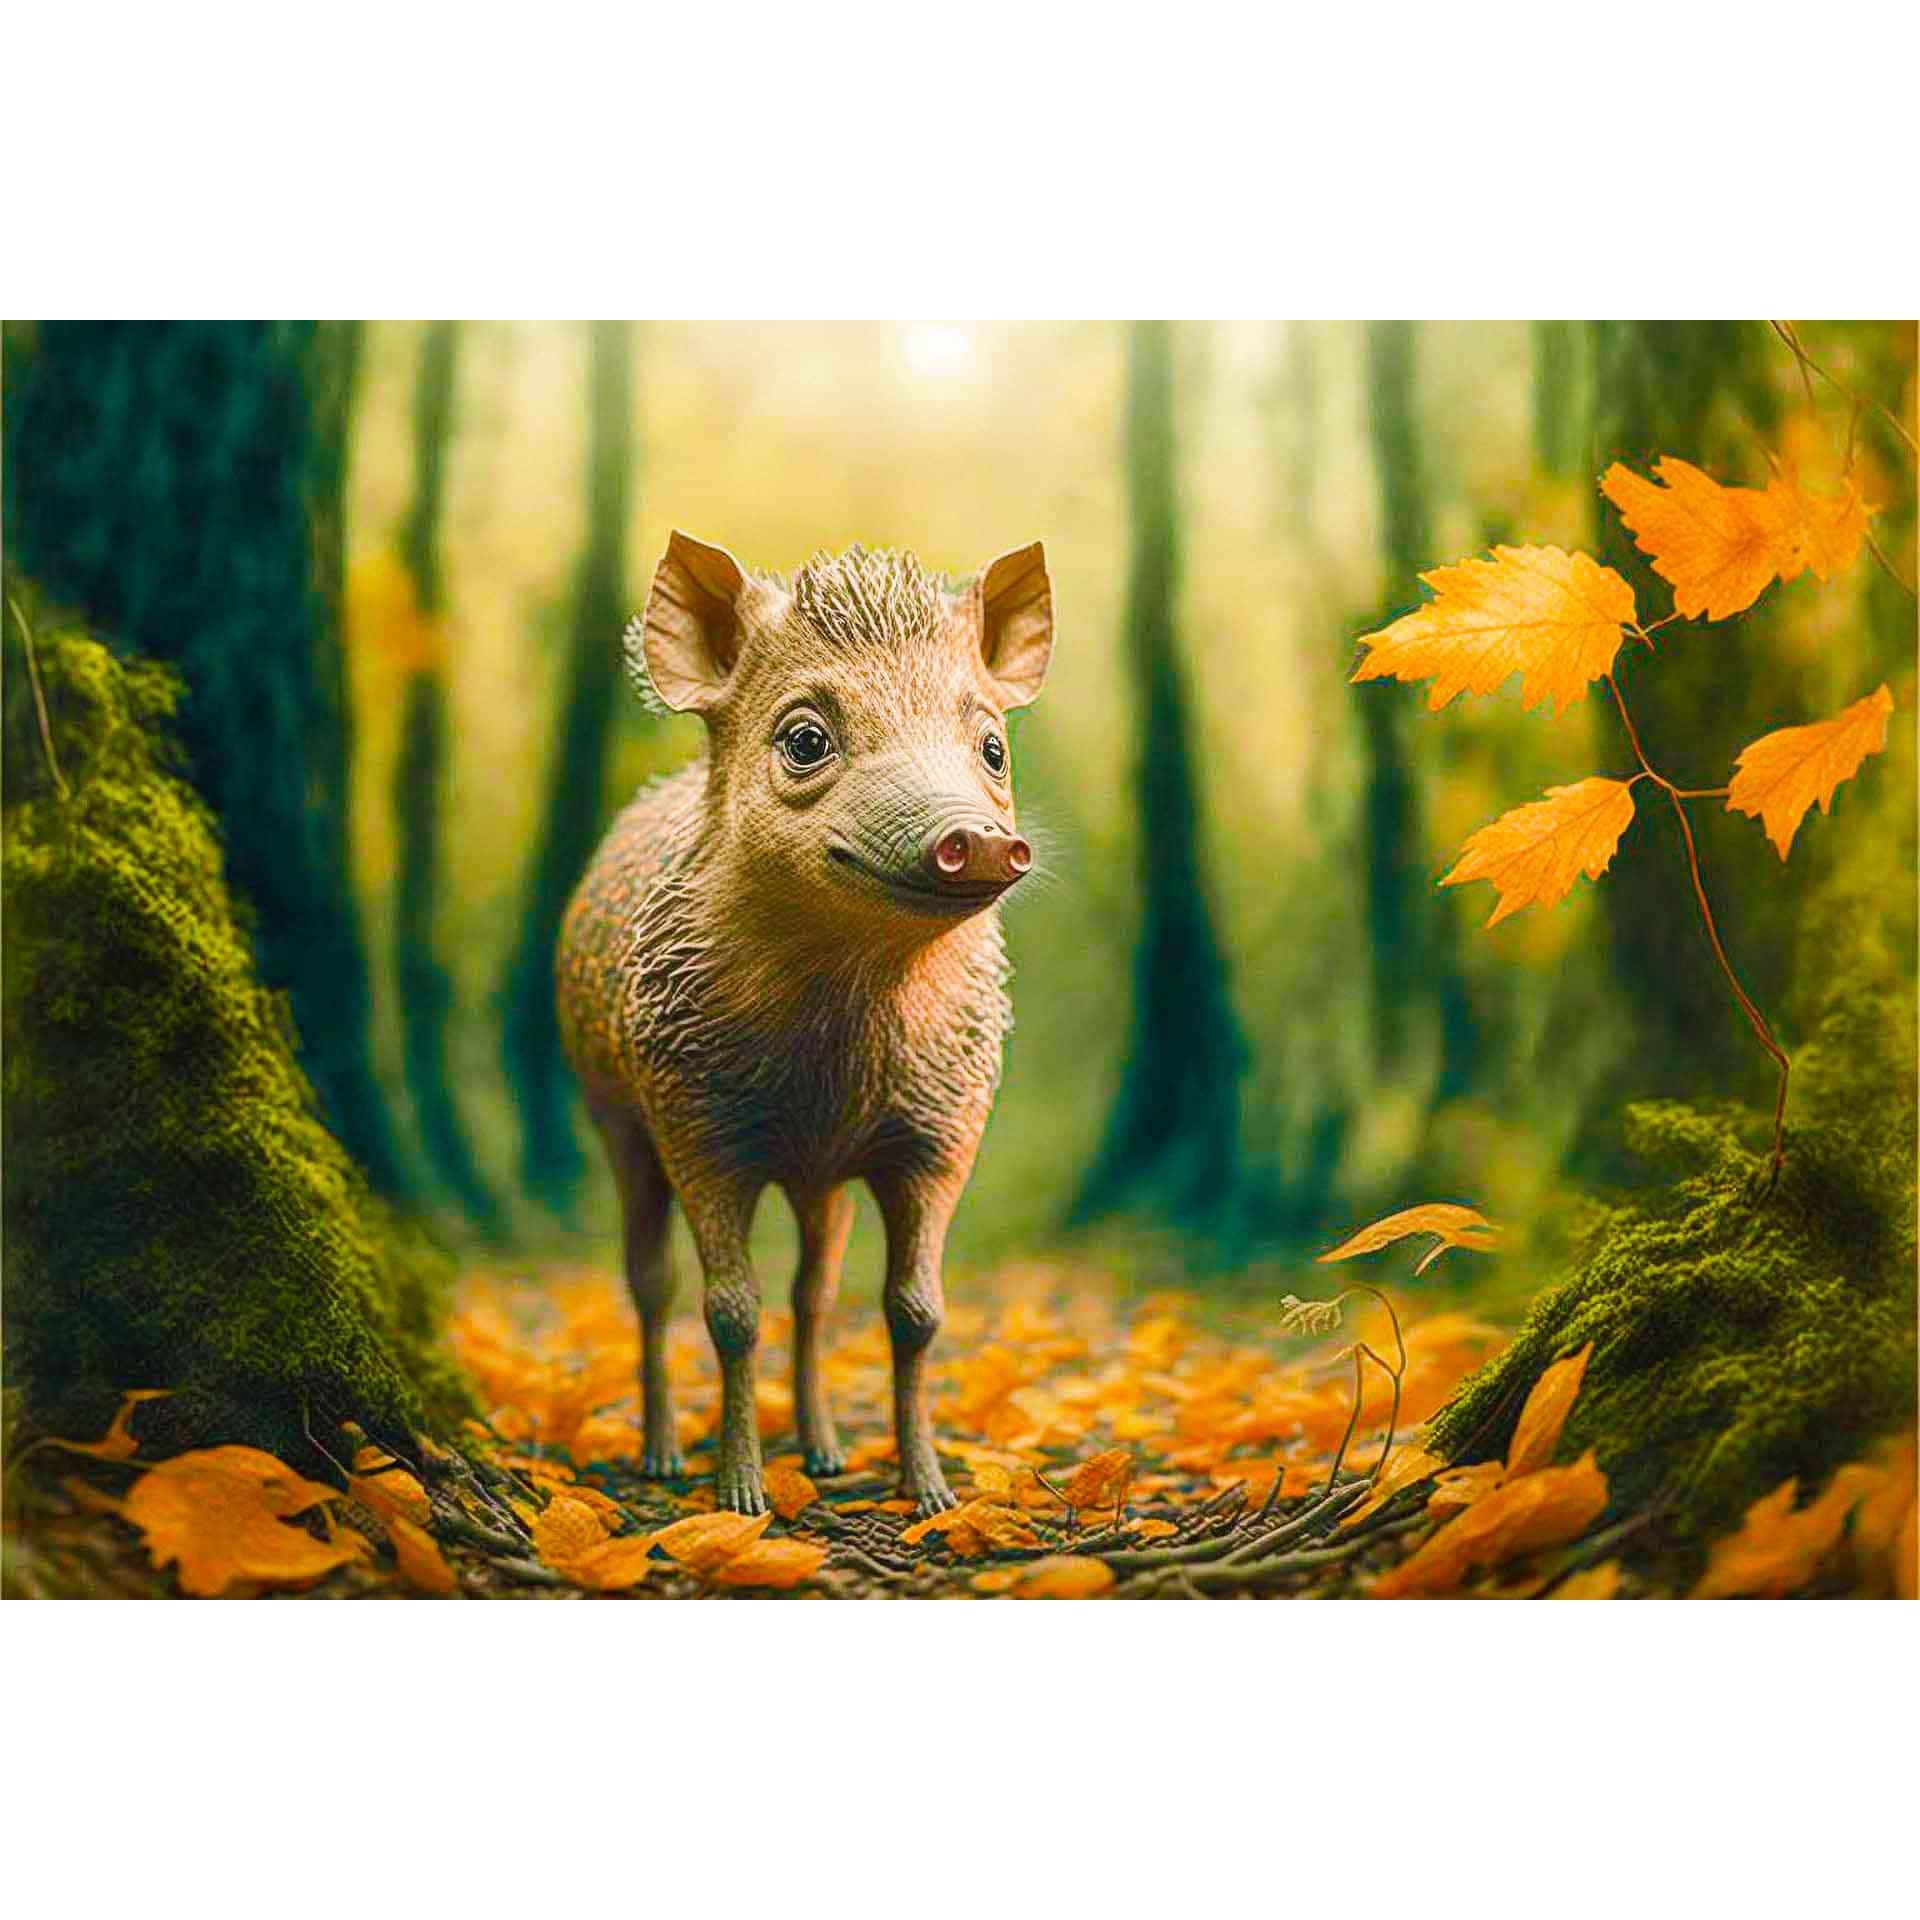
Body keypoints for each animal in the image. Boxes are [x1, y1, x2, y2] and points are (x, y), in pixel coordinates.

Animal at [557, 533, 1053, 1515]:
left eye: (992, 746)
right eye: (806, 739)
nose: (979, 838)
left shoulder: (945, 1127)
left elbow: (915, 1311)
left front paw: (931, 1497)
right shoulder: (693, 1115)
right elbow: (728, 1309)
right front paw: (741, 1500)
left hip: (824, 1185)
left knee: (814, 1288)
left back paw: (822, 1455)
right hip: (612, 1113)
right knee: (651, 1283)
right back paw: (661, 1460)